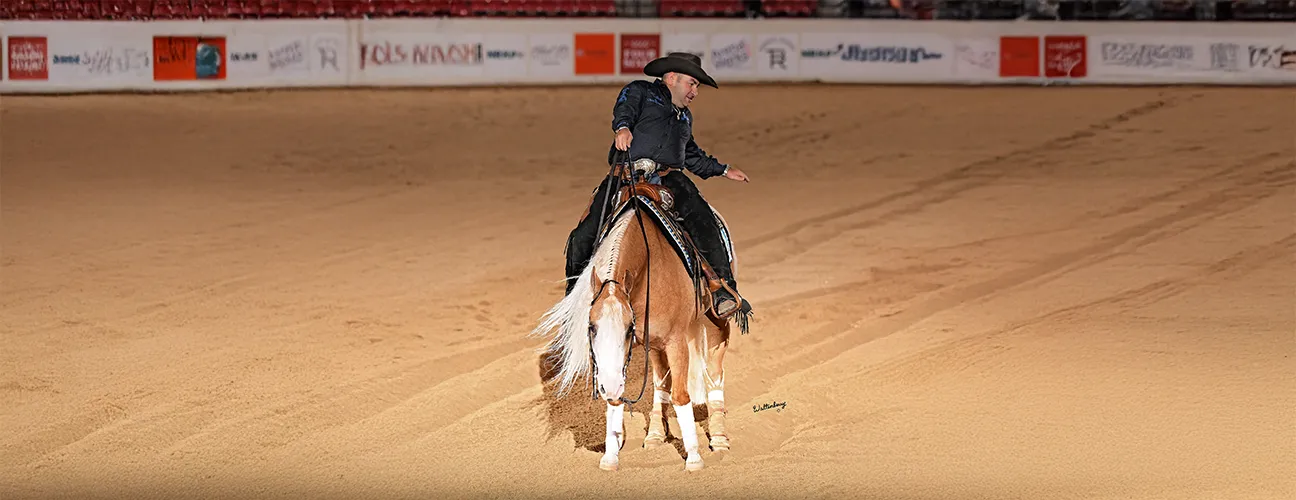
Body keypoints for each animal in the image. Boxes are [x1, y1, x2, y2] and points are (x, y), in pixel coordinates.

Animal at [531, 163, 743, 472]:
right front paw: (610, 457)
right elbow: (622, 395)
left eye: (629, 327)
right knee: (660, 383)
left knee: (714, 372)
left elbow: (682, 396)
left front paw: (694, 458)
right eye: (591, 327)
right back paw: (654, 436)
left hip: (716, 322)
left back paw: (720, 439)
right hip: (655, 344)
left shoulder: (675, 340)